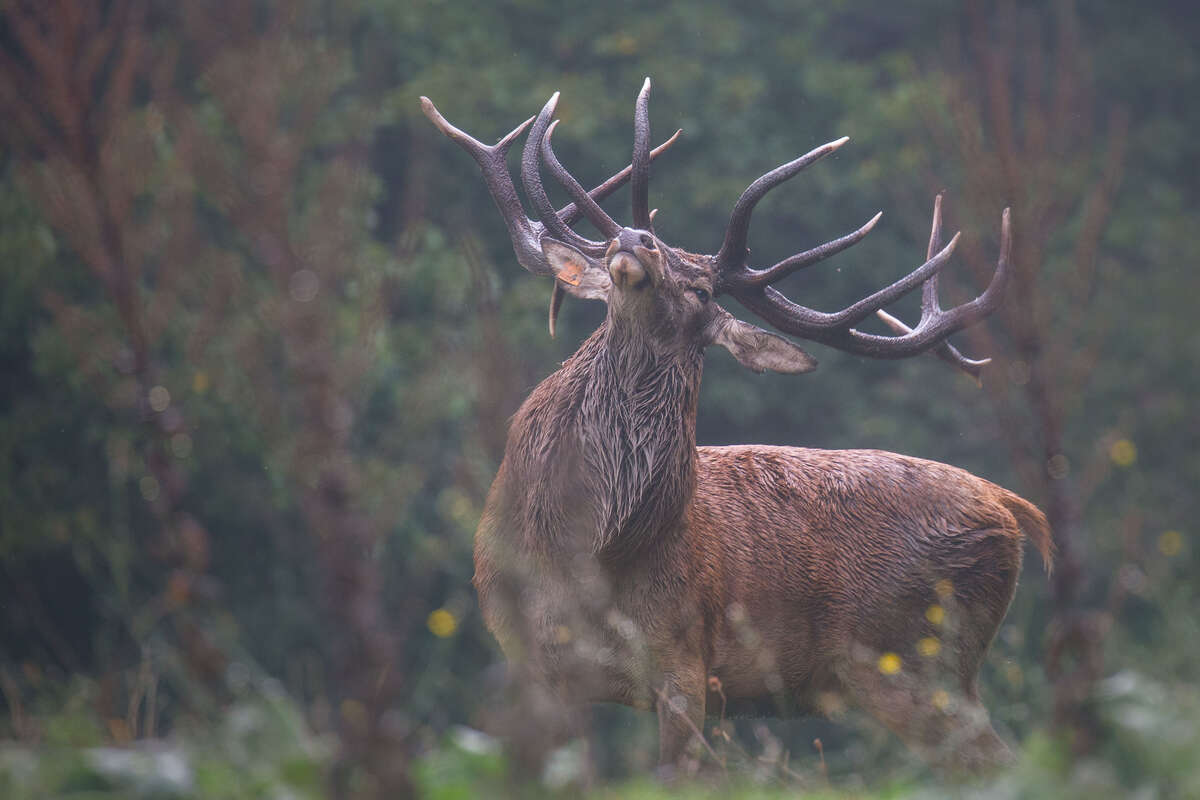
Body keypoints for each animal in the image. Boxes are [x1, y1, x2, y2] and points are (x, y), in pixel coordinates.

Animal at [420, 78, 1053, 777]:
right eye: (632, 248)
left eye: (700, 288)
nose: (635, 238)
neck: (586, 549)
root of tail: (1009, 506)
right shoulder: (531, 661)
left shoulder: (684, 657)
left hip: (914, 662)